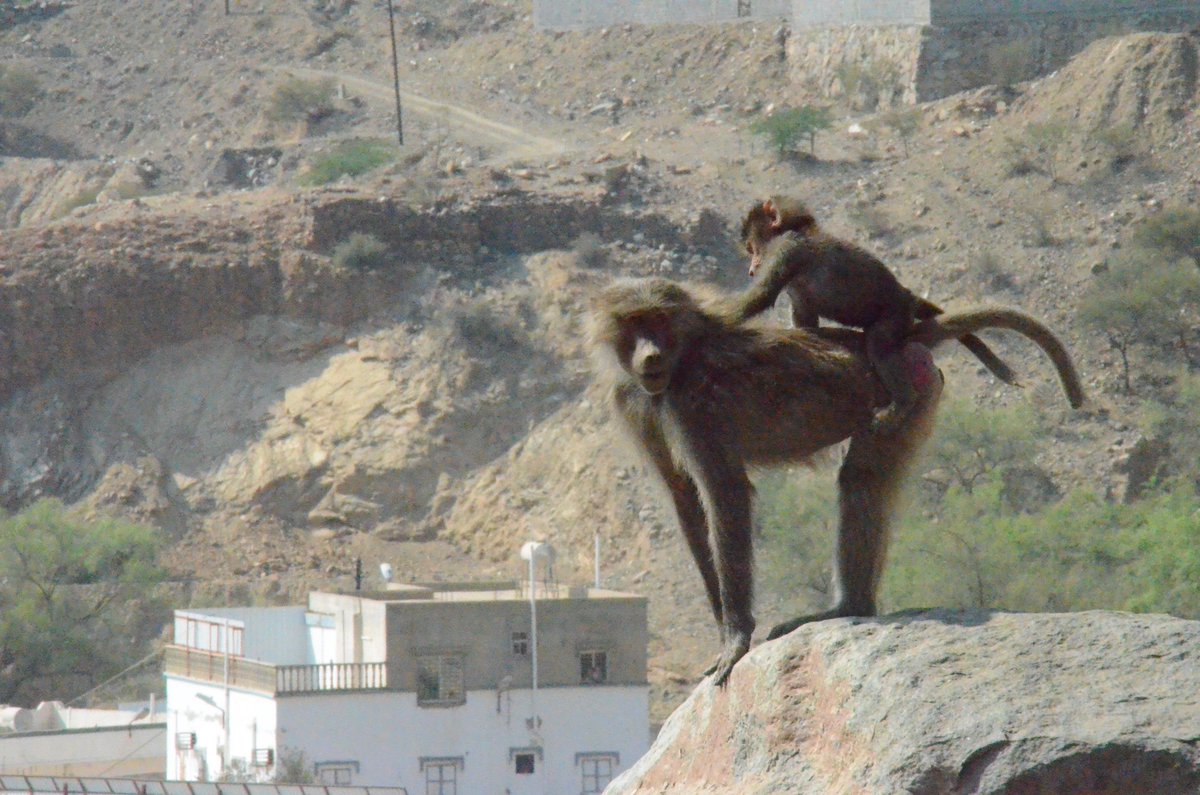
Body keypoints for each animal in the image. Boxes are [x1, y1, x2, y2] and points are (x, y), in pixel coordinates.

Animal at [588, 275, 1084, 686]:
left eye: (659, 321)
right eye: (634, 323)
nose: (650, 355)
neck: (683, 356)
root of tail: (897, 340)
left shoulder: (691, 403)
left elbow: (723, 494)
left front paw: (736, 636)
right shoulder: (633, 399)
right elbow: (685, 499)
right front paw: (723, 629)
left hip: (909, 395)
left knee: (860, 480)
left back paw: (849, 609)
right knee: (862, 482)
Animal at [739, 196, 1024, 428]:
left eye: (753, 248)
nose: (751, 270)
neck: (797, 229)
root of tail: (905, 295)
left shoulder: (787, 249)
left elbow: (761, 298)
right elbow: (805, 318)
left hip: (895, 316)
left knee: (878, 343)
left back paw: (903, 402)